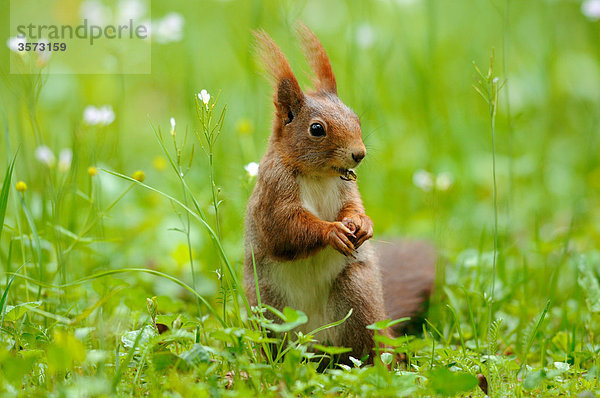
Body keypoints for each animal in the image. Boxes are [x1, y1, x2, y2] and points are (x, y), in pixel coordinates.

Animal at [244, 24, 436, 366]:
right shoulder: (273, 194)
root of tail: (316, 344)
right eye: (316, 129)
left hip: (357, 294)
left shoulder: (347, 188)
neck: (318, 175)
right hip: (270, 309)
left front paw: (363, 223)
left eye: (356, 118)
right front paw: (331, 232)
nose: (359, 154)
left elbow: (353, 206)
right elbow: (284, 229)